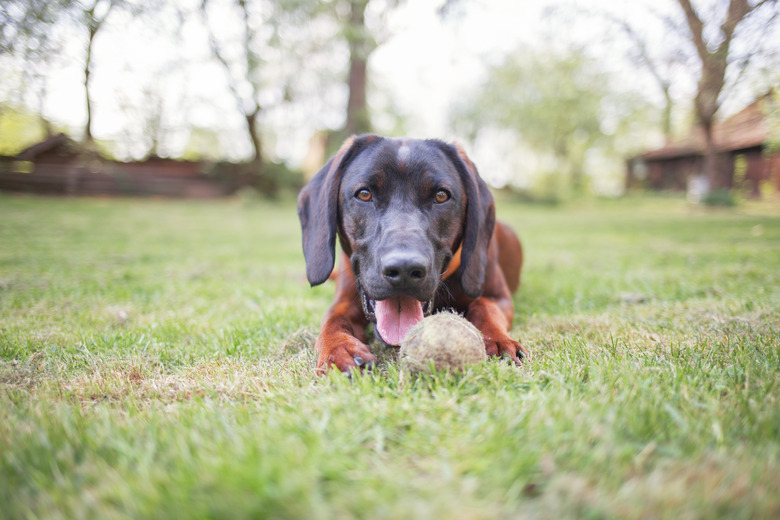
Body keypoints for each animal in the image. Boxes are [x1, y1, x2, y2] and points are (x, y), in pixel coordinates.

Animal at [296, 135, 528, 374]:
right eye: (364, 194)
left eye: (441, 196)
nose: (404, 269)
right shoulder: (343, 300)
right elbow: (332, 320)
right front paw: (339, 349)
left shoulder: (499, 297)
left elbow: (485, 307)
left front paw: (498, 340)